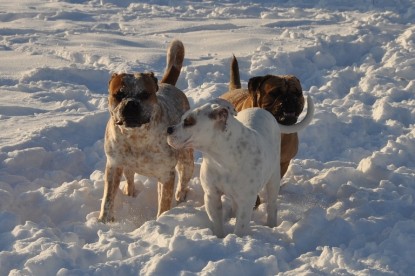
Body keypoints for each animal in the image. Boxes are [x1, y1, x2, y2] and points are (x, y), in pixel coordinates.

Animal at [99, 40, 195, 223]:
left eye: (145, 94)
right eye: (119, 94)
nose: (131, 103)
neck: (136, 137)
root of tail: (168, 84)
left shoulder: (166, 174)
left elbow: (164, 202)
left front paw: (162, 219)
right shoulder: (113, 165)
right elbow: (107, 198)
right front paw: (104, 221)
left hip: (186, 161)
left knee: (183, 179)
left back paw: (181, 197)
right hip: (126, 166)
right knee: (129, 177)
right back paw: (129, 192)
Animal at [167, 97, 314, 237]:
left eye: (189, 122)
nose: (169, 129)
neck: (221, 158)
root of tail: (264, 111)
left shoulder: (247, 200)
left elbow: (241, 226)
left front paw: (237, 238)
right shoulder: (211, 195)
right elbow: (217, 222)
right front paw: (220, 238)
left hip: (273, 179)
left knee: (272, 205)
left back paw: (271, 225)